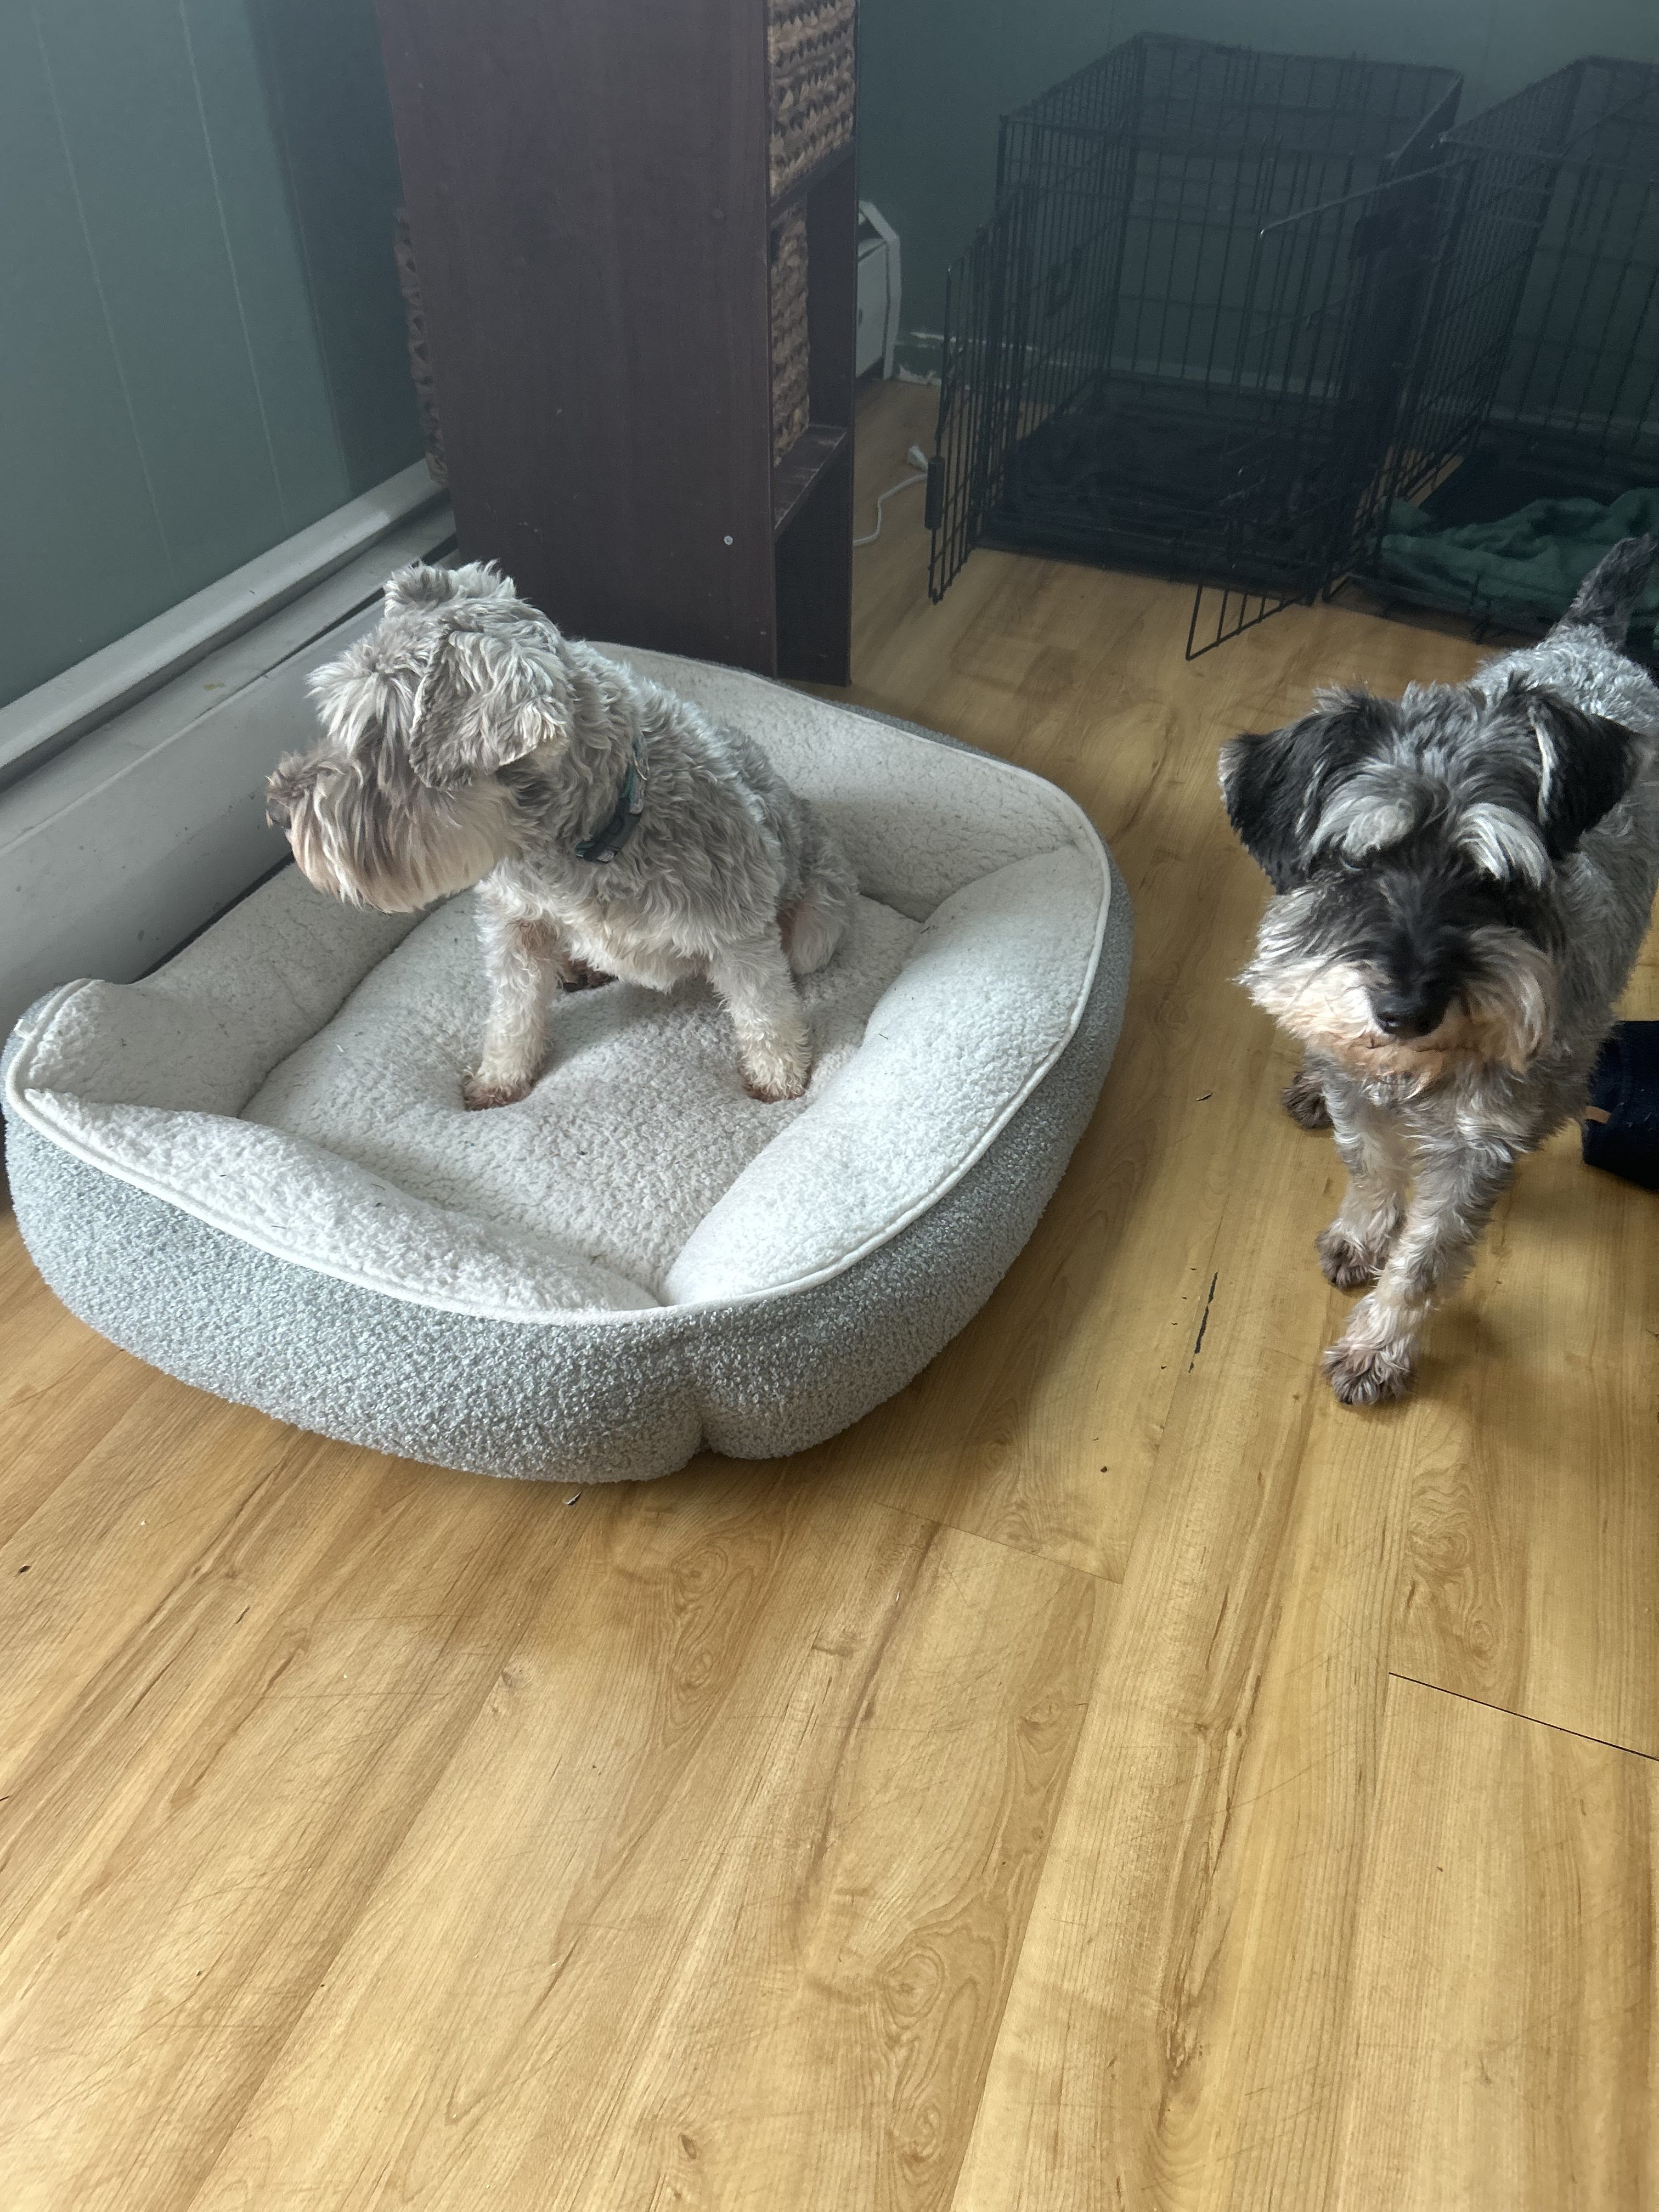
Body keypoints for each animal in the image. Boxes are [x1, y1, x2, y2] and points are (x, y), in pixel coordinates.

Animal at [267, 561, 857, 1107]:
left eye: (374, 739)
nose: (277, 809)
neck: (585, 841)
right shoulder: (515, 923)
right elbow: (512, 1011)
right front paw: (500, 1077)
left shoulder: (736, 930)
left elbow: (763, 1006)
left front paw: (779, 1076)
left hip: (816, 925)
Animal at [1221, 536, 1659, 1406]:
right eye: (1355, 863)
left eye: (1491, 879)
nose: (1404, 1012)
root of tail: (1592, 638)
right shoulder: (1362, 1093)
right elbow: (1369, 1163)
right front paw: (1362, 1232)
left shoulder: (1476, 1146)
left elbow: (1427, 1258)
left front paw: (1378, 1347)